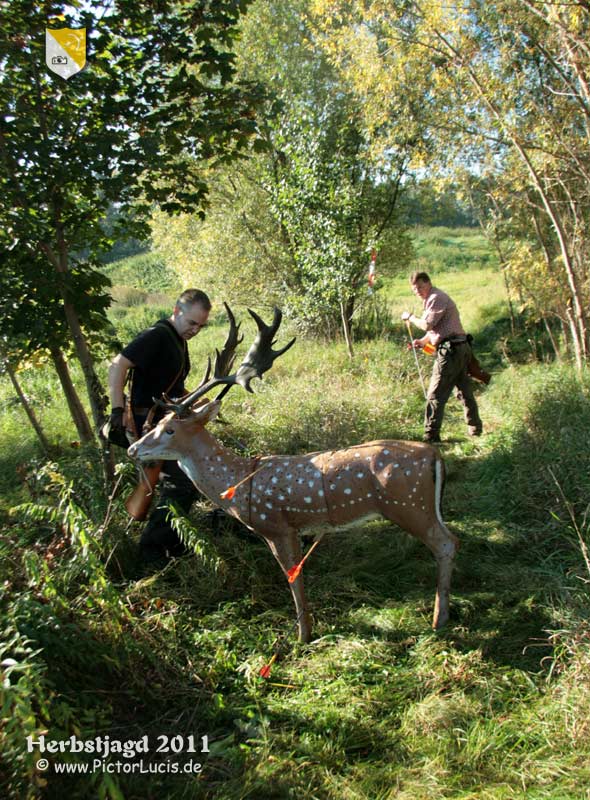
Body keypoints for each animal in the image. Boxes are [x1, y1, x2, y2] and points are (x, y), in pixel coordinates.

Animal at [130, 304, 460, 640]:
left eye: (169, 430)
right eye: (157, 423)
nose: (133, 448)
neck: (238, 482)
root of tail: (434, 455)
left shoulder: (276, 525)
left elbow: (293, 577)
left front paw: (302, 635)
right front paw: (306, 629)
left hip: (407, 504)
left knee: (446, 544)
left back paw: (439, 619)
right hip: (421, 507)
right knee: (451, 539)